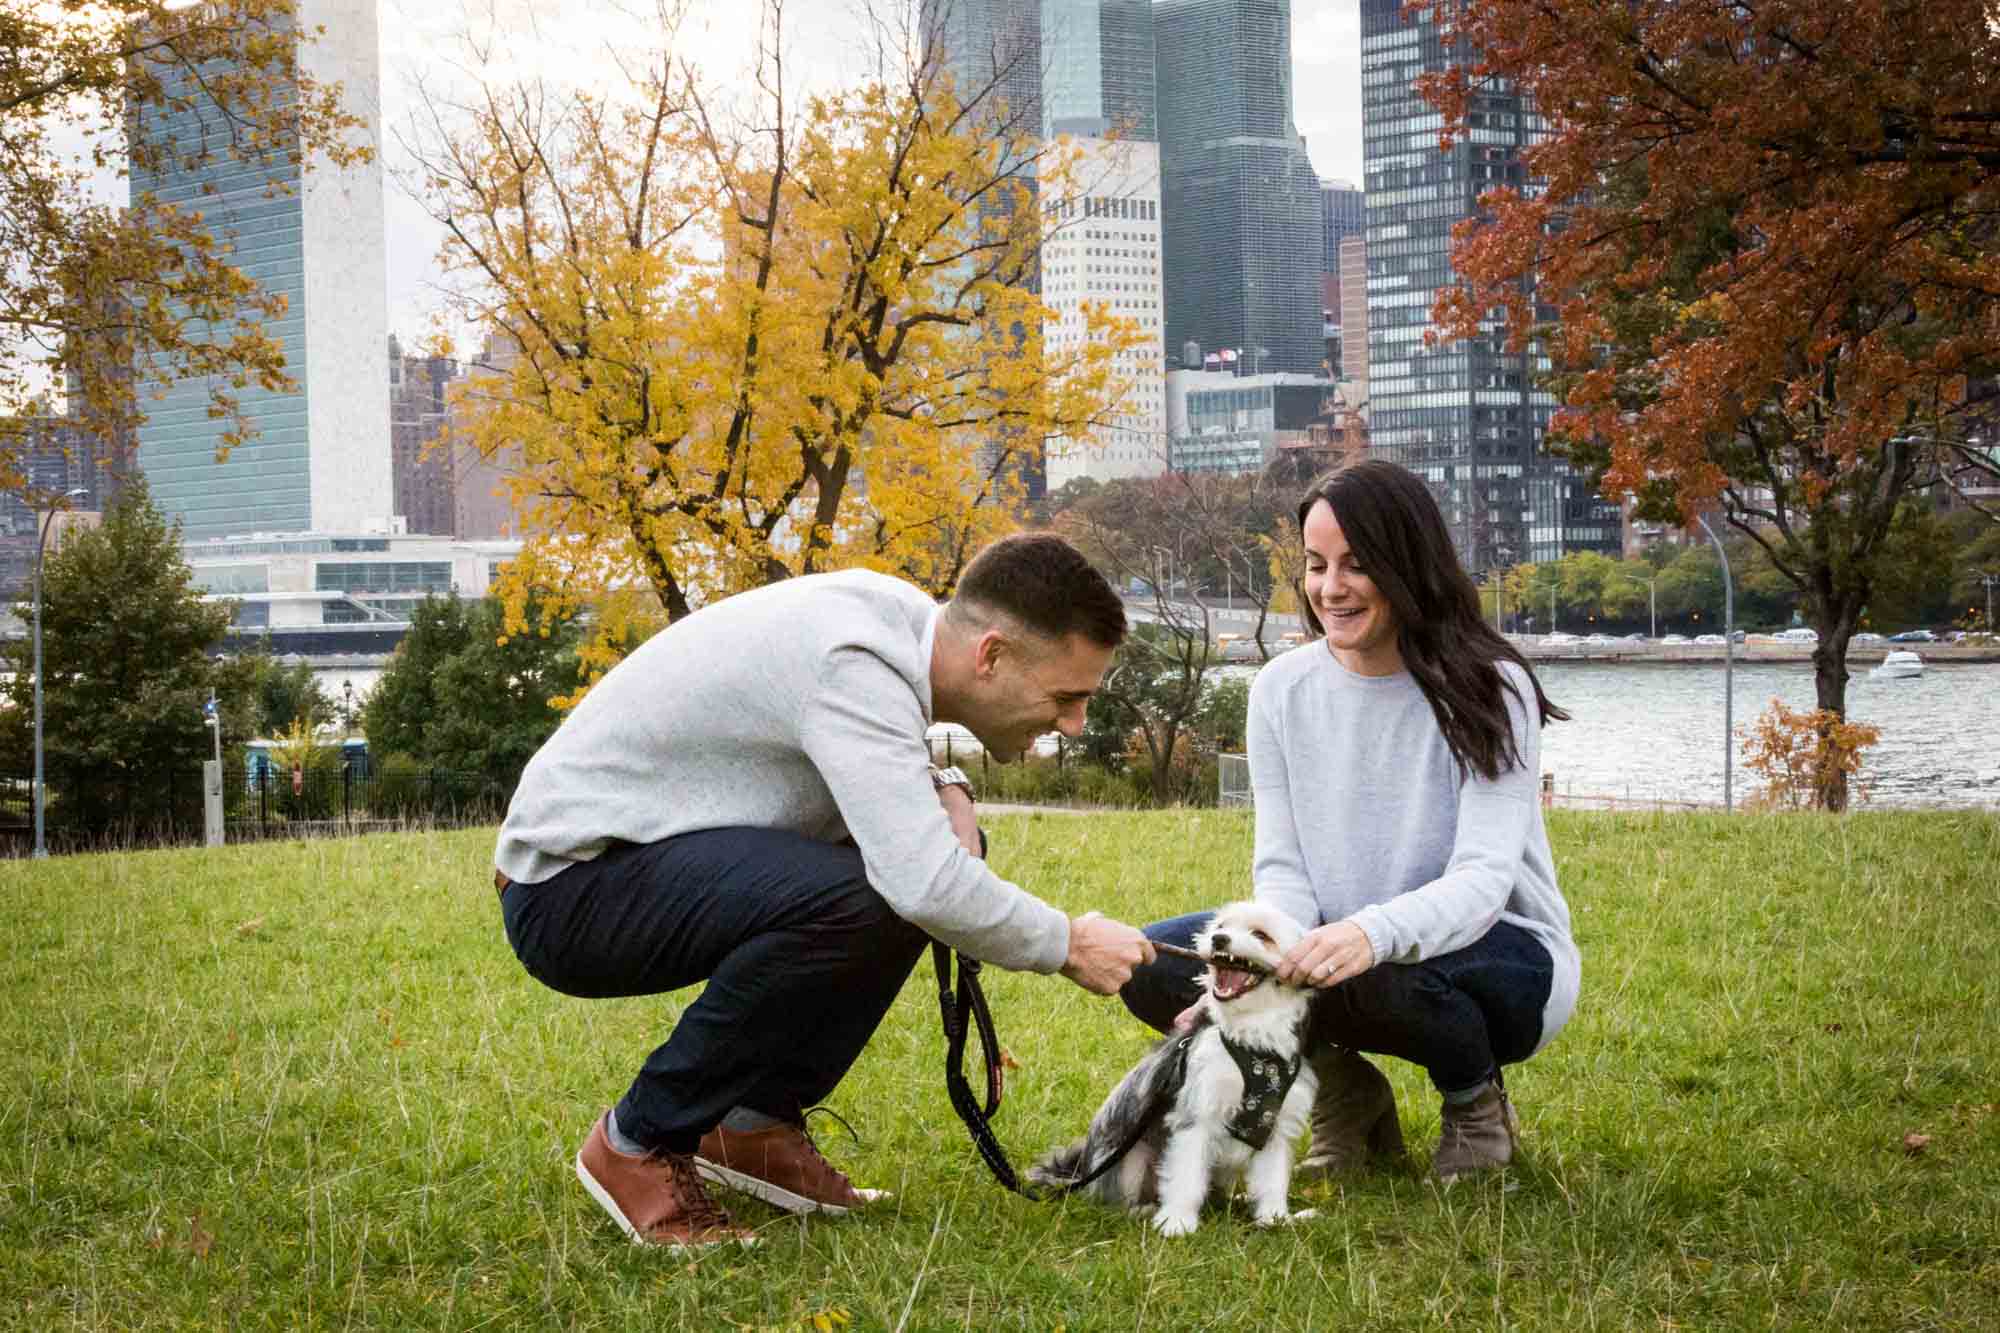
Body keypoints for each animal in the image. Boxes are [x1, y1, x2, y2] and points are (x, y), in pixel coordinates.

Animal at [1032, 896, 1328, 1232]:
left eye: (1261, 935)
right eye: (1221, 926)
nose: (1218, 939)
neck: (1253, 1042)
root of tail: (1080, 1172)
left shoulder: (1275, 1128)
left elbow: (1272, 1181)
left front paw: (1275, 1218)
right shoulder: (1195, 1117)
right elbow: (1186, 1178)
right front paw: (1177, 1223)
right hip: (1132, 1158)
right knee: (1121, 1204)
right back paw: (1144, 1210)